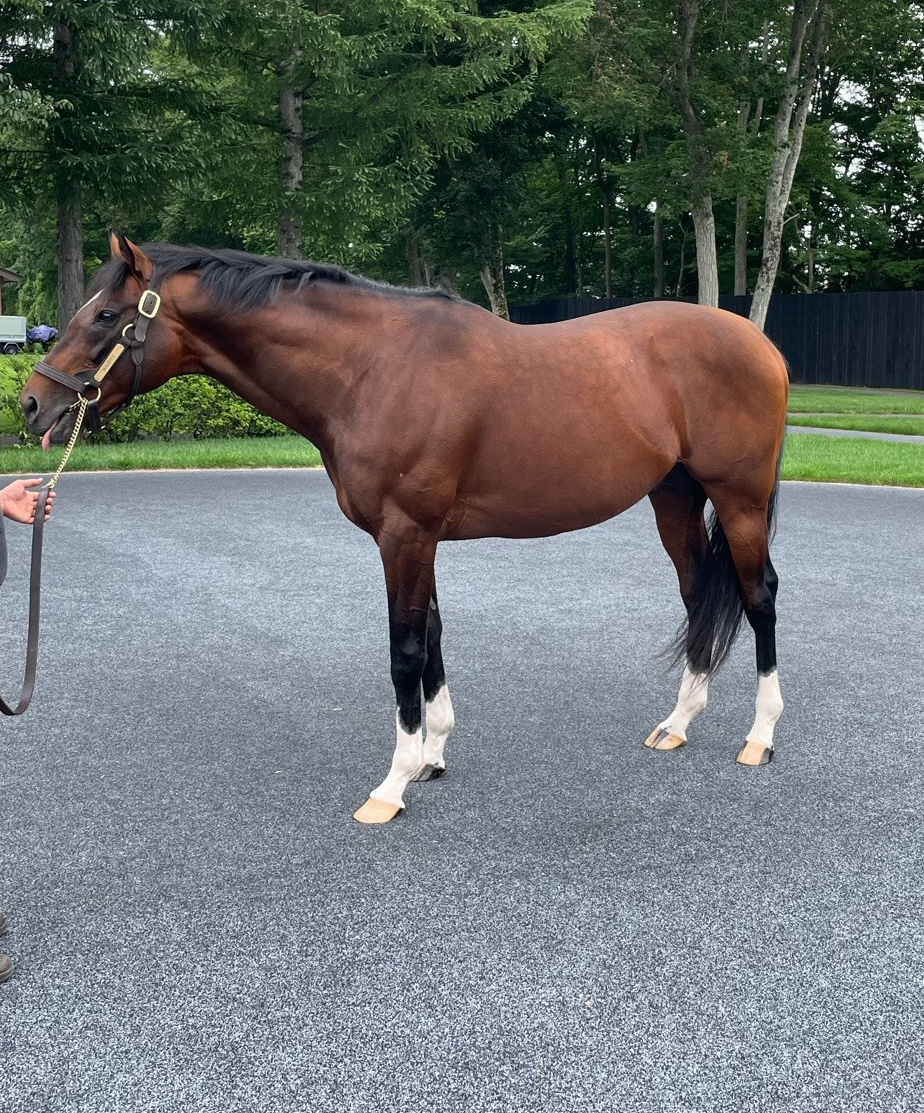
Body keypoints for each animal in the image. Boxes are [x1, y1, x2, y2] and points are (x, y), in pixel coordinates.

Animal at [22, 234, 789, 825]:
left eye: (107, 315)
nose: (31, 405)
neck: (370, 369)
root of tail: (761, 344)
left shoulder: (405, 535)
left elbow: (405, 652)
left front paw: (390, 786)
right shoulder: (418, 539)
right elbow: (435, 640)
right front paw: (432, 757)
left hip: (740, 500)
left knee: (759, 598)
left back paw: (759, 737)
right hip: (674, 497)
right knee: (697, 593)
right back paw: (678, 724)